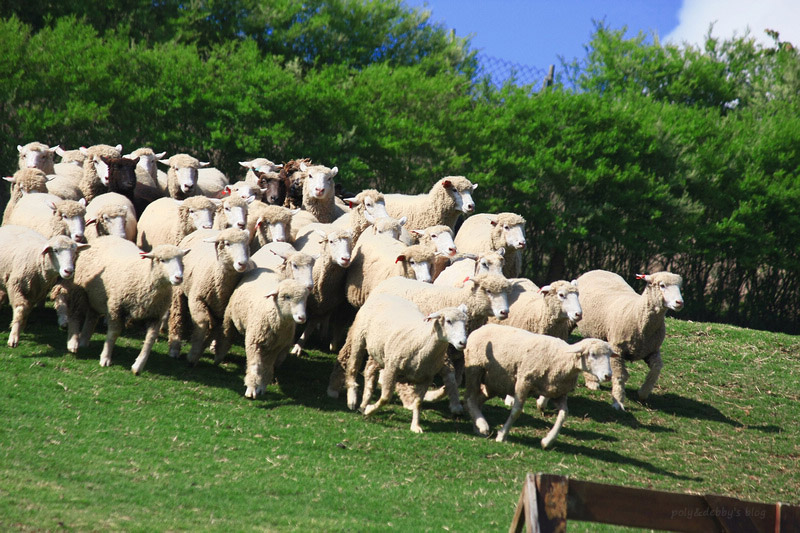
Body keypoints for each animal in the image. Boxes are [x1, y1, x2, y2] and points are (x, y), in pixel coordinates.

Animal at [63, 237, 187, 374]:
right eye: (162, 260)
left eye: (181, 261)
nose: (178, 277)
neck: (145, 277)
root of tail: (103, 237)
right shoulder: (116, 307)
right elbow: (114, 333)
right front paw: (105, 358)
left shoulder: (156, 315)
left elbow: (150, 340)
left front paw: (138, 366)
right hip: (80, 290)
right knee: (76, 313)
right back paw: (73, 343)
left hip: (96, 296)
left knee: (92, 317)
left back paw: (84, 341)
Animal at [169, 227, 253, 364]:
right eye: (227, 243)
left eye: (246, 244)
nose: (242, 264)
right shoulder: (197, 299)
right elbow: (203, 323)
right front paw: (192, 355)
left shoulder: (223, 312)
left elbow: (218, 330)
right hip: (179, 289)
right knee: (177, 315)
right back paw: (174, 348)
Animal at [342, 294, 468, 434]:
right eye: (449, 321)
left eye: (465, 323)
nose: (463, 343)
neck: (422, 341)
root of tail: (384, 294)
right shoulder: (392, 368)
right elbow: (385, 397)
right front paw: (370, 411)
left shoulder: (426, 378)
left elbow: (418, 402)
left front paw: (415, 426)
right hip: (359, 337)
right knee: (353, 366)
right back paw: (352, 399)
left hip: (380, 352)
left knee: (369, 371)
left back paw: (363, 404)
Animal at [460, 322, 616, 446]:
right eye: (592, 354)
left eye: (609, 355)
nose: (608, 375)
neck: (562, 358)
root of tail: (480, 328)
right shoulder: (524, 382)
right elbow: (516, 411)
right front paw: (502, 435)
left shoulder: (558, 392)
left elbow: (564, 414)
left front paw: (547, 441)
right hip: (475, 370)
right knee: (470, 398)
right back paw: (483, 426)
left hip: (495, 383)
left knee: (477, 400)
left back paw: (478, 426)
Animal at [576, 270, 680, 412]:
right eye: (662, 285)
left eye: (680, 287)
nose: (679, 302)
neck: (637, 314)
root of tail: (596, 270)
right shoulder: (617, 349)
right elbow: (620, 376)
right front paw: (618, 401)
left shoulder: (652, 350)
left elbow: (656, 369)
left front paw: (643, 393)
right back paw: (592, 381)